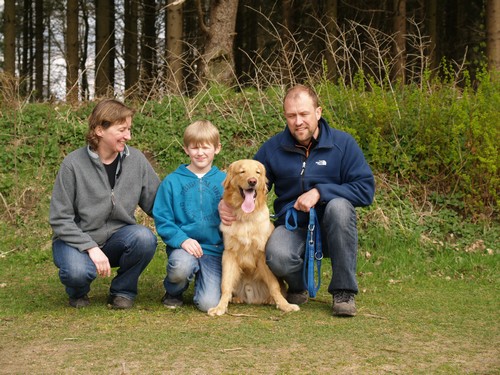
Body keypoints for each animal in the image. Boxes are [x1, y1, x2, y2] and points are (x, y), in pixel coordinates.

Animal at [208, 159, 300, 318]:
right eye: (242, 171)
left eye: (258, 172)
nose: (252, 181)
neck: (245, 217)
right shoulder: (229, 254)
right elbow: (225, 284)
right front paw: (220, 306)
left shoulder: (262, 255)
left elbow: (274, 286)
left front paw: (284, 305)